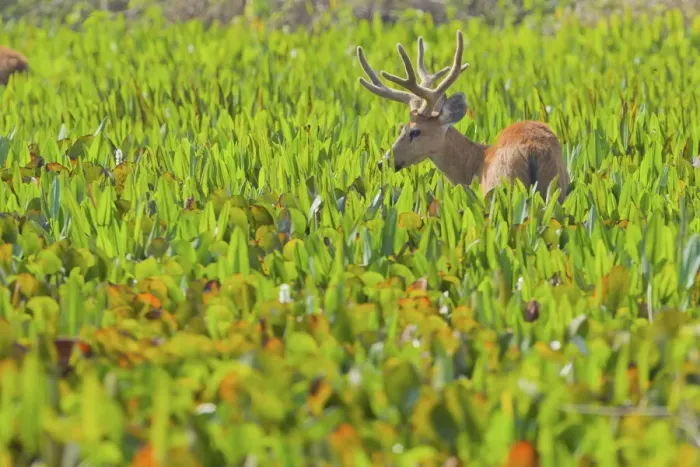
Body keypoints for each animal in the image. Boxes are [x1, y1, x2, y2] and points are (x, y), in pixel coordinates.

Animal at [356, 31, 569, 204]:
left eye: (415, 131)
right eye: (401, 128)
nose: (383, 162)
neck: (474, 164)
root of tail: (533, 149)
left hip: (501, 186)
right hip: (557, 186)